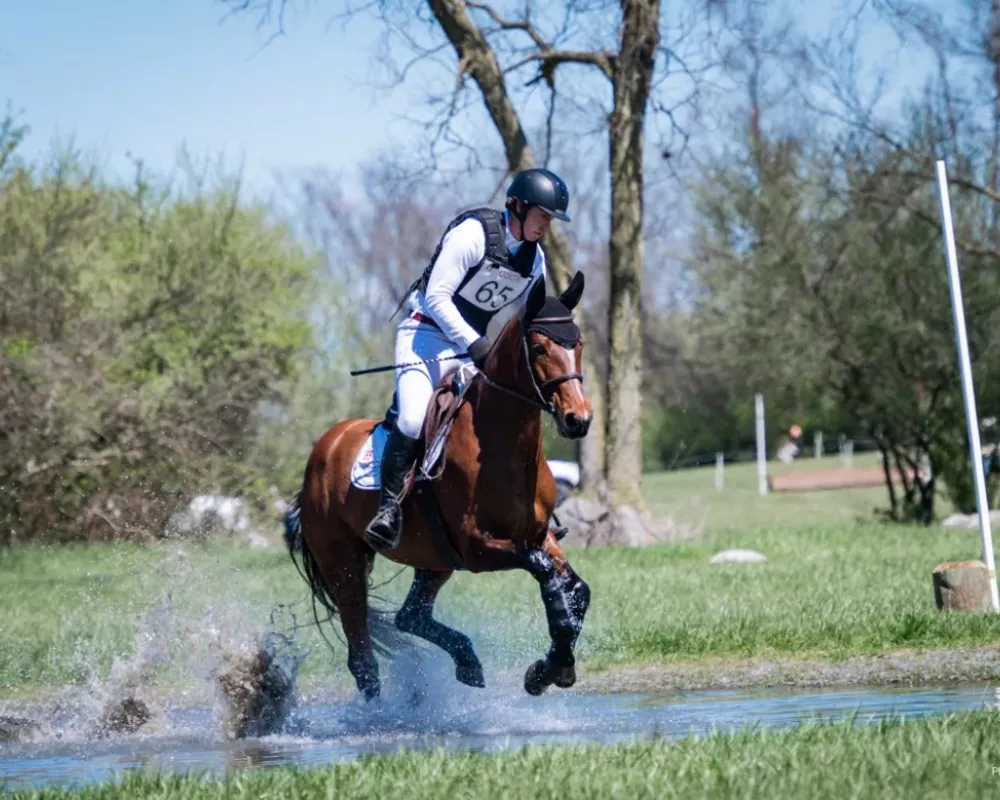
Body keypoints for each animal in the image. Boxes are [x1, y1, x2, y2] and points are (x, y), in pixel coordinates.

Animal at [282, 270, 592, 700]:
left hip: (435, 558)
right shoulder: (478, 547)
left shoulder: (538, 534)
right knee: (362, 657)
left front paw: (552, 668)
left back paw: (467, 661)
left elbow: (577, 588)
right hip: (344, 564)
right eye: (539, 347)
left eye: (578, 344)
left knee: (408, 617)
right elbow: (546, 573)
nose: (579, 419)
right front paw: (551, 666)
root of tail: (321, 450)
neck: (502, 443)